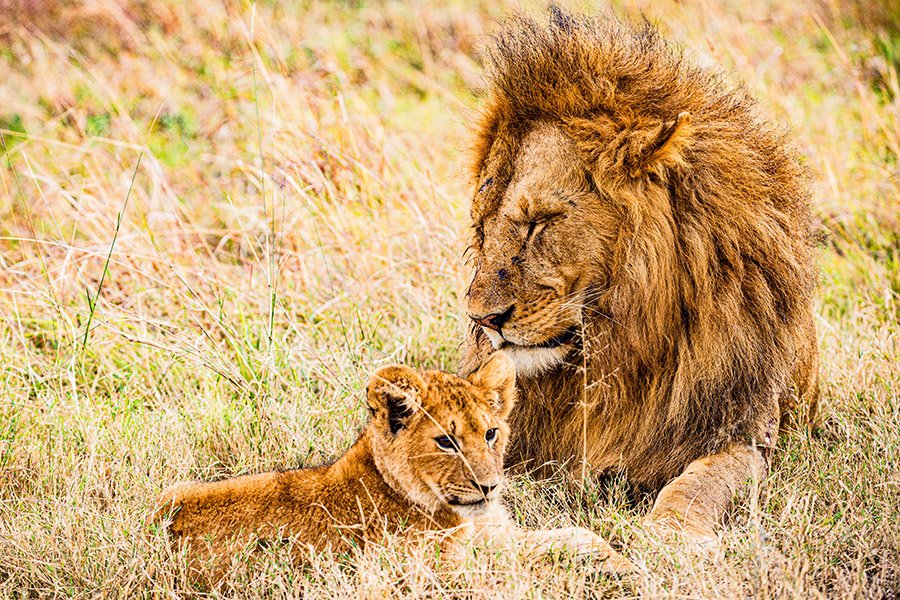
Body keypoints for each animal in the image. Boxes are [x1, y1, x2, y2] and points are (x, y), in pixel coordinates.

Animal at [460, 8, 820, 544]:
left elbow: (698, 485)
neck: (620, 343)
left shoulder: (745, 430)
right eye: (482, 224)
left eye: (539, 221)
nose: (482, 319)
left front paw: (668, 537)